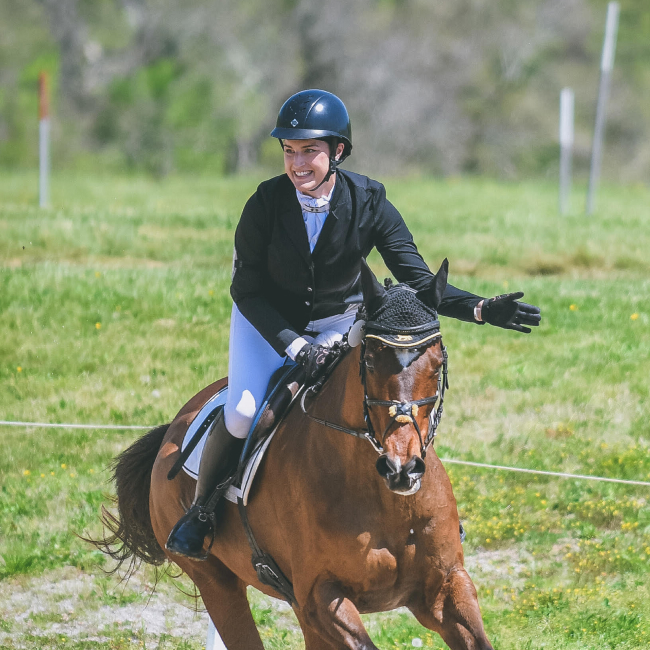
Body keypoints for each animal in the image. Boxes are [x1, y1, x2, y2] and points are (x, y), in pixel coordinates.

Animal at [97, 262, 493, 650]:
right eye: (369, 362)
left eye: (437, 364)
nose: (402, 469)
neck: (383, 497)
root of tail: (173, 428)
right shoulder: (320, 597)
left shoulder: (444, 589)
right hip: (217, 582)